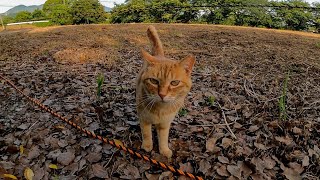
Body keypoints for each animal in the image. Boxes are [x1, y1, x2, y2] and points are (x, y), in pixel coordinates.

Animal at [136, 26, 195, 158]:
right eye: (153, 81)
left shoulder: (165, 124)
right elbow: (146, 133)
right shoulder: (144, 119)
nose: (162, 94)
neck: (160, 110)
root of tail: (159, 55)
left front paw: (164, 150)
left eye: (174, 83)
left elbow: (163, 138)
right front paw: (147, 146)